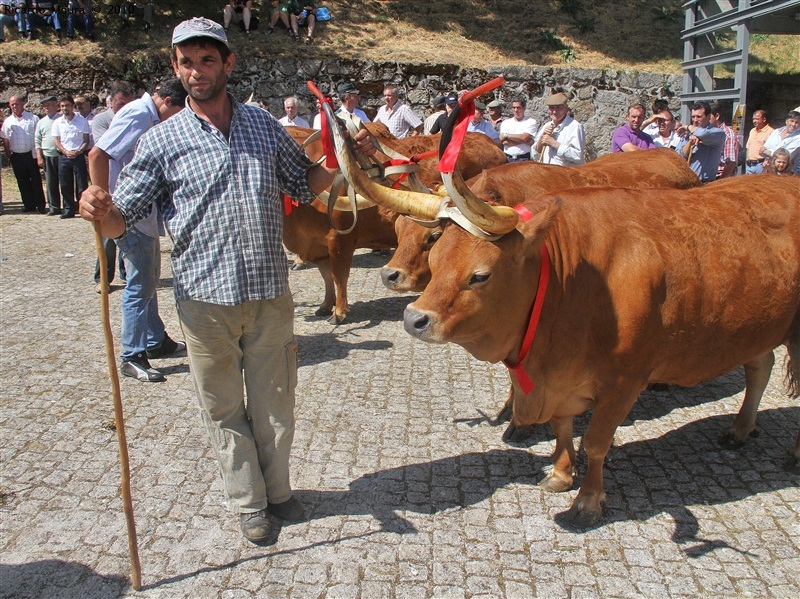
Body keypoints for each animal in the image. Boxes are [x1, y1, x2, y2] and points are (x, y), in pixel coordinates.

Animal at [282, 127, 506, 324]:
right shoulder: (317, 244)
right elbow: (326, 276)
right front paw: (325, 305)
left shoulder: (340, 239)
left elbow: (339, 276)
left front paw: (339, 312)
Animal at [400, 176, 800, 528]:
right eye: (436, 256)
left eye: (480, 276)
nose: (414, 318)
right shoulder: (561, 378)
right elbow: (561, 428)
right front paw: (561, 474)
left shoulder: (623, 383)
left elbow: (595, 443)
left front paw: (587, 503)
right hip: (756, 327)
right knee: (760, 367)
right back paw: (740, 429)